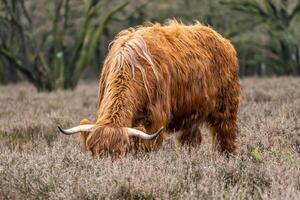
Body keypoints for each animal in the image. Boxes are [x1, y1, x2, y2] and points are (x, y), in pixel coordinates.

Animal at [58, 20, 241, 156]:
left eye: (120, 155)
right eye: (94, 154)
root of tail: (222, 40)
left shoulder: (155, 117)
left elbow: (146, 147)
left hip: (226, 107)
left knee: (226, 136)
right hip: (192, 113)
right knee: (190, 140)